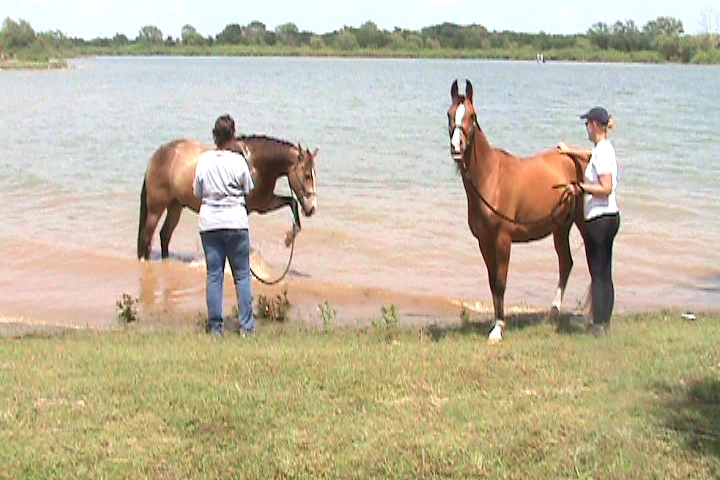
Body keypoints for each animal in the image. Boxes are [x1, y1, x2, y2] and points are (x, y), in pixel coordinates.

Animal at [138, 137, 318, 260]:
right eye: (307, 175)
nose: (312, 208)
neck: (255, 164)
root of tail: (156, 157)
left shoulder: (264, 204)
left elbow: (292, 202)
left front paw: (289, 238)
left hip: (175, 206)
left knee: (164, 235)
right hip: (156, 208)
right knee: (147, 236)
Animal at [448, 80, 588, 344]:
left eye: (472, 115)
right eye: (449, 114)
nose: (456, 147)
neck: (491, 178)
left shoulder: (503, 240)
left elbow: (501, 282)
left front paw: (498, 330)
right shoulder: (484, 242)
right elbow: (492, 283)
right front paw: (495, 323)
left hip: (583, 222)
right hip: (561, 227)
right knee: (566, 263)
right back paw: (552, 314)